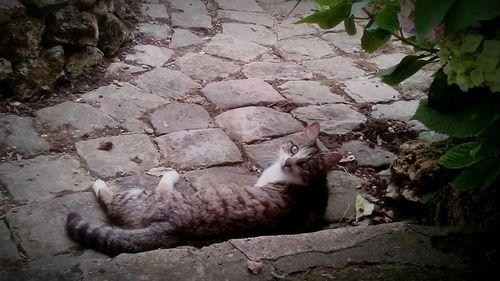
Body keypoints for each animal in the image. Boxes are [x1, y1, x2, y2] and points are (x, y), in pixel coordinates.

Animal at [66, 121, 342, 255]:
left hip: (141, 197)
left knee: (117, 200)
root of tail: (172, 226)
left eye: (304, 164)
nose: (287, 162)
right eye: (294, 148)